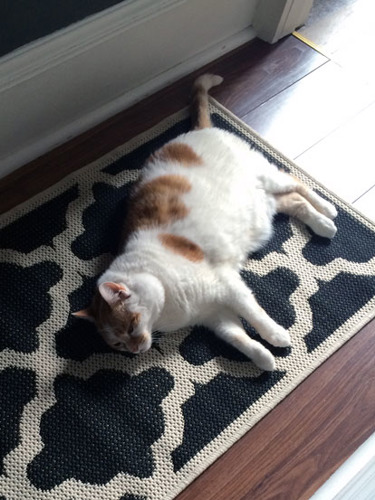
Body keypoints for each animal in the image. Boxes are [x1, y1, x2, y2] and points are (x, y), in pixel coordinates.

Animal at [72, 74, 338, 372]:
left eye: (131, 326)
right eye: (117, 344)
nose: (134, 350)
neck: (168, 307)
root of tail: (197, 131)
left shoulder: (228, 286)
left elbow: (254, 314)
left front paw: (276, 335)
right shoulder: (215, 315)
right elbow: (239, 338)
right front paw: (264, 359)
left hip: (267, 177)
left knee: (296, 182)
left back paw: (328, 212)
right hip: (263, 203)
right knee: (294, 201)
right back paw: (321, 223)